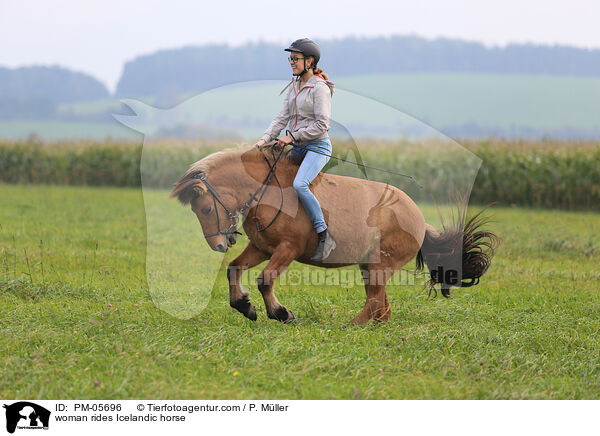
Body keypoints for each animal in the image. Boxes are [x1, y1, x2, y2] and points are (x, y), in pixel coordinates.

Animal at [169, 142, 496, 324]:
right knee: (381, 306)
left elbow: (264, 280)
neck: (268, 191)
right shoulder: (262, 248)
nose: (218, 244)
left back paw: (350, 326)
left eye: (206, 209)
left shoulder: (287, 249)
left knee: (376, 302)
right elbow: (234, 269)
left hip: (380, 265)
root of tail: (417, 217)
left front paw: (280, 313)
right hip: (369, 266)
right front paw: (244, 306)